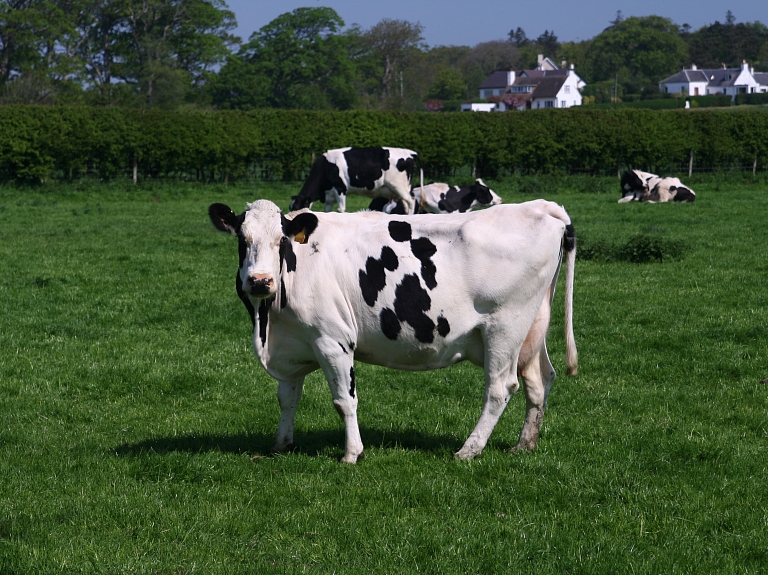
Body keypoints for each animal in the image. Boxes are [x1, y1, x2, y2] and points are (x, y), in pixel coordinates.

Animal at [207, 200, 580, 466]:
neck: (268, 325)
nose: (260, 280)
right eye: (243, 240)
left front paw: (352, 453)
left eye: (280, 240)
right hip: (532, 328)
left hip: (505, 327)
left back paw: (469, 449)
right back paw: (525, 444)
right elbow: (287, 397)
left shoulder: (333, 340)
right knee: (539, 379)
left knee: (500, 388)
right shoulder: (294, 343)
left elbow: (344, 401)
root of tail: (540, 206)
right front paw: (281, 444)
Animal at [288, 146, 424, 214]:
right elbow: (327, 211)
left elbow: (341, 209)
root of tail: (410, 153)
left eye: (297, 209)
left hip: (399, 186)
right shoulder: (329, 196)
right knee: (406, 205)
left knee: (411, 202)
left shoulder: (340, 188)